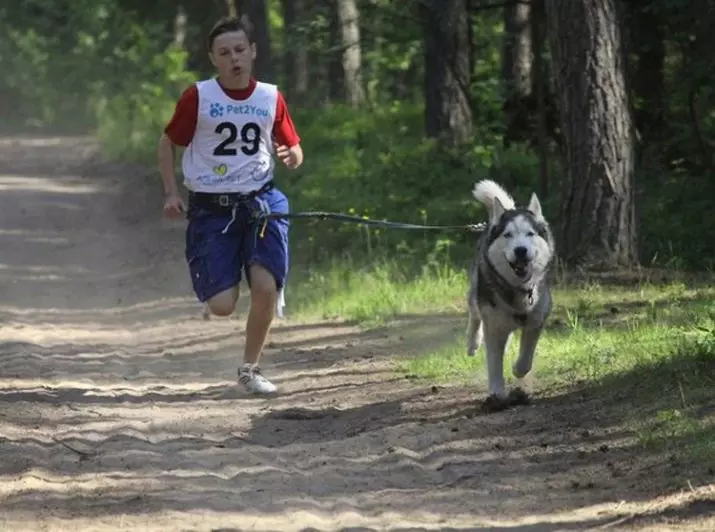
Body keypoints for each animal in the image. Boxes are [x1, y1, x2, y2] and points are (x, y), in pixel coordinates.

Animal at [468, 179, 556, 412]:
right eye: (507, 235)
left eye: (530, 234)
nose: (520, 250)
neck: (518, 291)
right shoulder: (493, 326)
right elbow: (494, 363)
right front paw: (497, 394)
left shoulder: (537, 319)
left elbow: (527, 356)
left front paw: (518, 370)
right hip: (476, 292)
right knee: (474, 314)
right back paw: (472, 343)